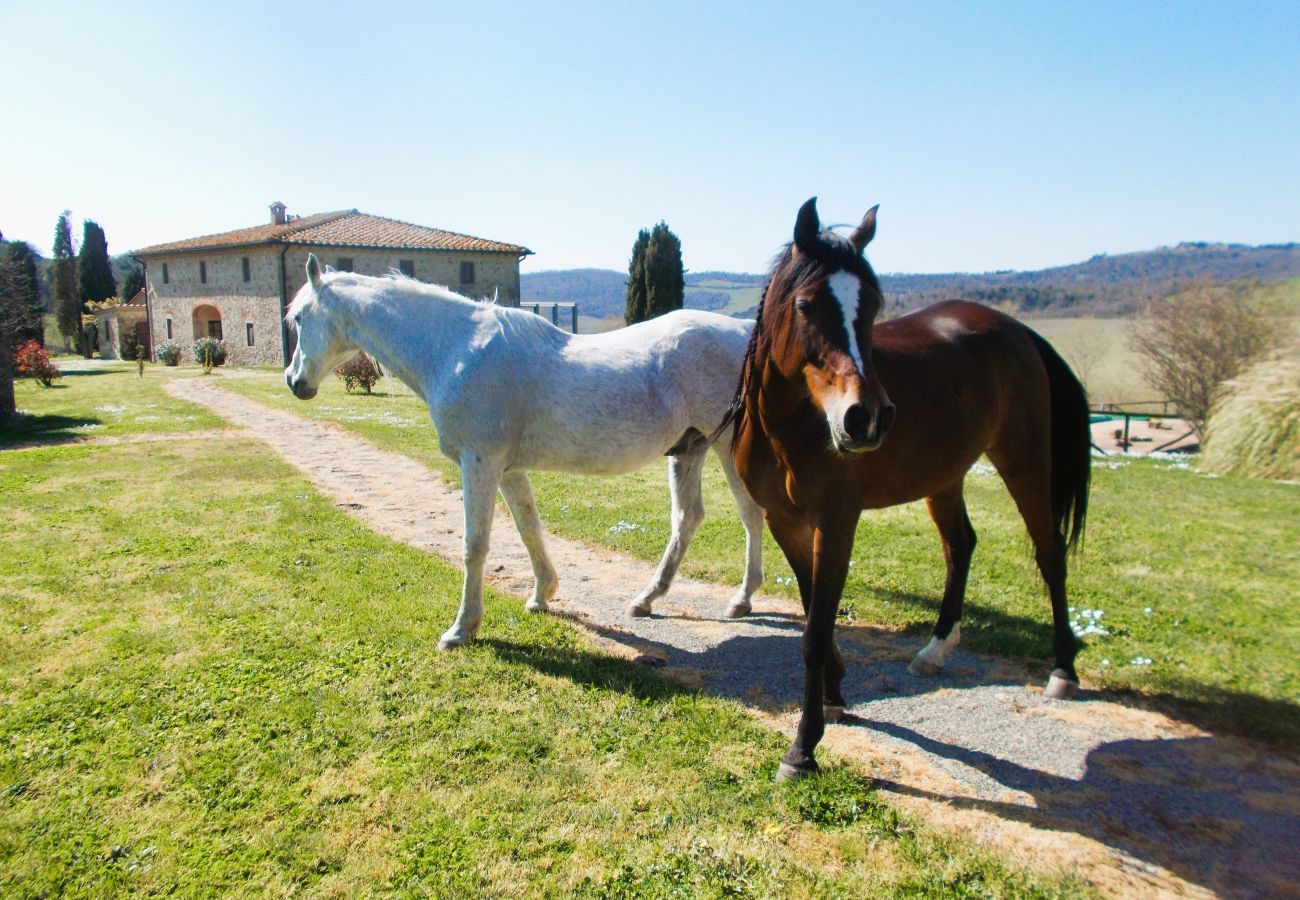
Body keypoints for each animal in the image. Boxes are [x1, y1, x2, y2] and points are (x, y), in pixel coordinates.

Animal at [282, 253, 759, 647]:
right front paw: (542, 596)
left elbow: (475, 545)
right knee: (687, 519)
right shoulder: (508, 469)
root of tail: (744, 332)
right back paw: (647, 598)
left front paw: (462, 629)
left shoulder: (479, 462)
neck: (455, 350)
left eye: (301, 317)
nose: (294, 381)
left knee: (750, 514)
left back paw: (742, 599)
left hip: (726, 448)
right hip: (689, 449)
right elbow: (529, 529)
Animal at [728, 200, 1092, 775]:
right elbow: (814, 614)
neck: (788, 424)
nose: (867, 418)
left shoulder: (836, 522)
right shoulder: (787, 521)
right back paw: (935, 650)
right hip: (944, 479)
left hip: (1026, 463)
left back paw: (1063, 670)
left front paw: (804, 748)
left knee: (1050, 553)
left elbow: (814, 632)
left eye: (874, 305)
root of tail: (1018, 331)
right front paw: (834, 694)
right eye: (807, 305)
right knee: (960, 546)